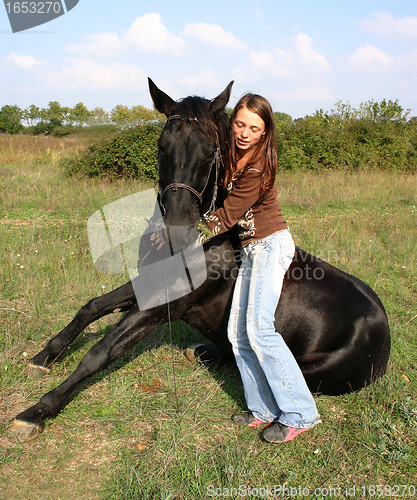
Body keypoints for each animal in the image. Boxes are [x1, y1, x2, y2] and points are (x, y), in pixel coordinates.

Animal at [10, 78, 390, 442]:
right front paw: (44, 357)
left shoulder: (163, 304)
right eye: (161, 146)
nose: (176, 231)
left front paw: (37, 411)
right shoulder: (149, 284)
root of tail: (384, 338)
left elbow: (101, 352)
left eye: (210, 153)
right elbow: (92, 307)